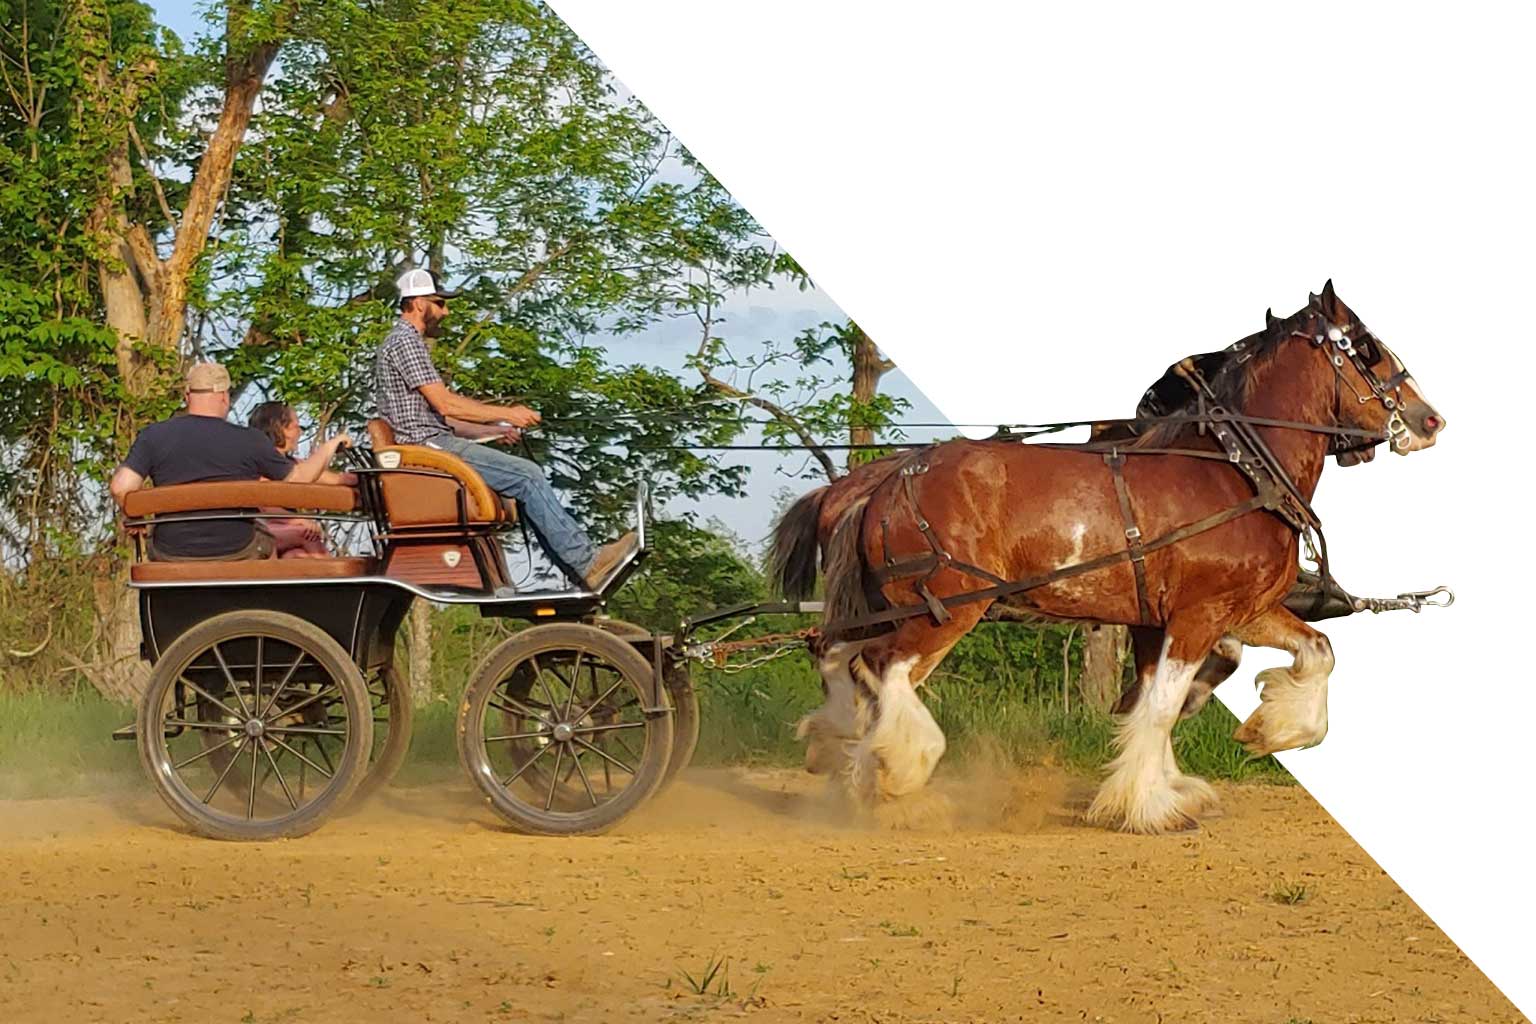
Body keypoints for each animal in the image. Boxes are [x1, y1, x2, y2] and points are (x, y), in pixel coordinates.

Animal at [768, 282, 1445, 833]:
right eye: (1366, 348)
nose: (1429, 420)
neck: (1236, 471)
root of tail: (885, 478)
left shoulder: (1225, 612)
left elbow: (1310, 653)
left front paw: (1263, 733)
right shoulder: (1198, 616)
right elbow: (1162, 707)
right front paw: (1149, 805)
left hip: (886, 606)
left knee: (838, 656)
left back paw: (847, 763)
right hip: (944, 609)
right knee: (881, 670)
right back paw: (900, 776)